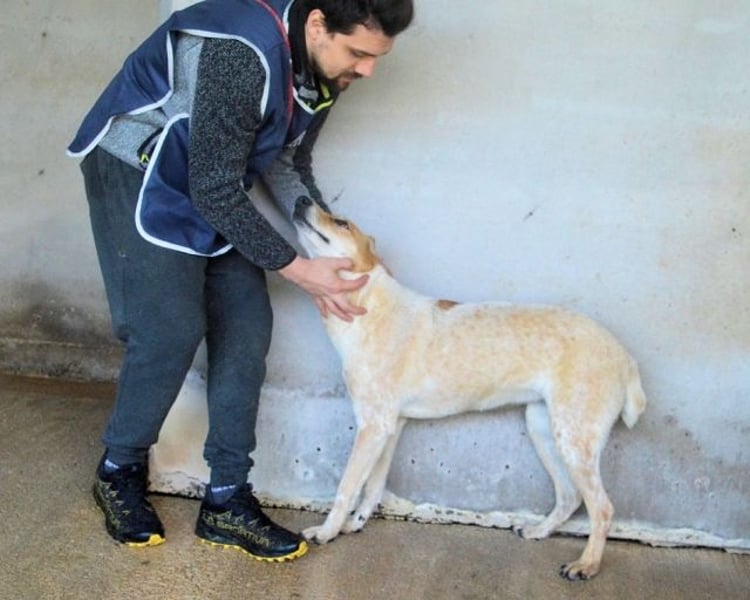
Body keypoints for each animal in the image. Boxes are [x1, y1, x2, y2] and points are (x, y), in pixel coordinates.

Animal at [293, 198, 647, 580]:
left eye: (341, 222)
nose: (300, 200)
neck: (369, 303)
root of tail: (624, 355)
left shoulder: (372, 427)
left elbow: (346, 487)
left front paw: (327, 531)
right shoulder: (390, 426)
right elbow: (371, 487)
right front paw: (353, 525)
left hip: (573, 438)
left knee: (602, 507)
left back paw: (587, 565)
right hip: (543, 429)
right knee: (570, 497)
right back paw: (539, 531)